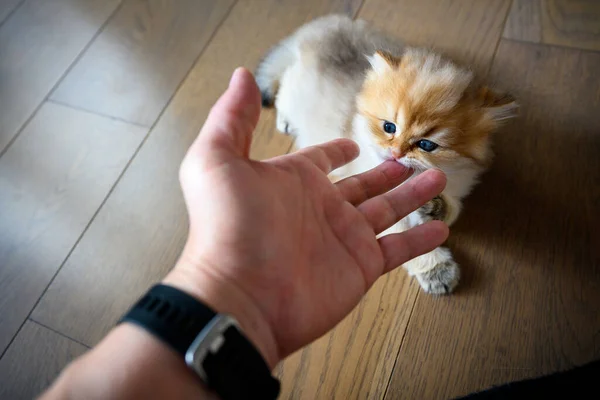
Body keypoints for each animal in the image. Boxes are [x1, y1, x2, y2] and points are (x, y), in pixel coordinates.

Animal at [255, 14, 516, 294]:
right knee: (282, 95)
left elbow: (452, 209)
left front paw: (435, 208)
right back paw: (286, 122)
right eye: (389, 127)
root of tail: (320, 27)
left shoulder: (456, 184)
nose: (396, 152)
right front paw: (436, 269)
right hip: (295, 92)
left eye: (426, 145)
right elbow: (406, 237)